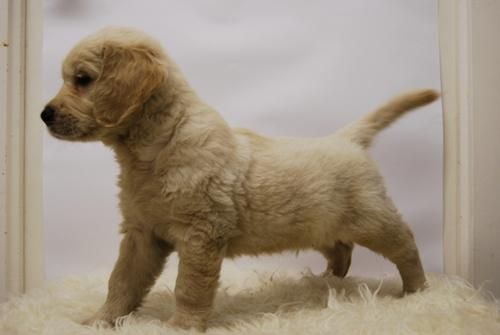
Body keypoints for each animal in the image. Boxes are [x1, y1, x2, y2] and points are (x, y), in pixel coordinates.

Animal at [44, 27, 442, 332]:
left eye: (83, 80)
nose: (44, 114)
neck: (156, 146)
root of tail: (346, 139)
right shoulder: (141, 234)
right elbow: (121, 281)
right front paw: (101, 320)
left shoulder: (201, 235)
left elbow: (188, 287)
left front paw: (182, 325)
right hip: (321, 224)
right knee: (341, 248)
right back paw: (329, 279)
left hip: (373, 219)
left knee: (406, 245)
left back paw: (417, 290)